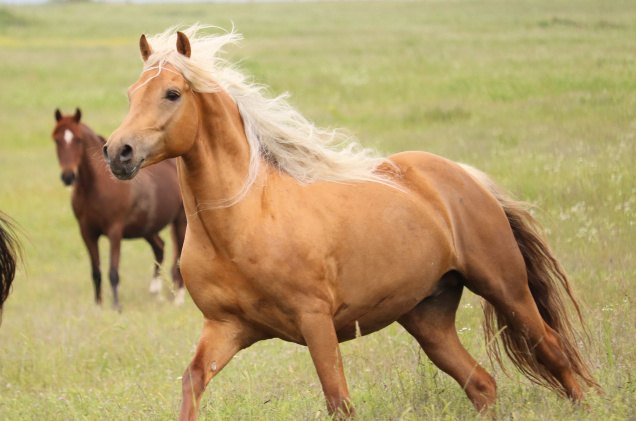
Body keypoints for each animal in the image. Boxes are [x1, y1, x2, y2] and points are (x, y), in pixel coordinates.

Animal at [52, 106, 186, 306]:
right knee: (159, 247)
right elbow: (96, 272)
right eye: (56, 140)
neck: (96, 186)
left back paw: (179, 298)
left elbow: (113, 272)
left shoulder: (114, 231)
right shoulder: (87, 233)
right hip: (147, 228)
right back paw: (155, 292)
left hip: (180, 221)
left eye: (78, 140)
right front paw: (98, 305)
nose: (68, 176)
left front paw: (116, 307)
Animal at [103, 26, 596, 416]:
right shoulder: (225, 329)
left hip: (505, 288)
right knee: (481, 384)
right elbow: (192, 385)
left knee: (554, 352)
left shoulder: (316, 322)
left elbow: (339, 401)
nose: (117, 152)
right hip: (428, 316)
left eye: (172, 93)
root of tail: (465, 177)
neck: (244, 221)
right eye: (131, 94)